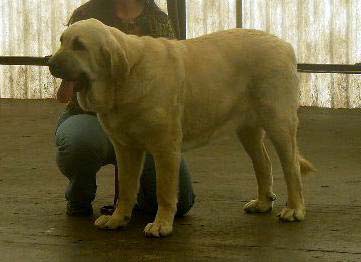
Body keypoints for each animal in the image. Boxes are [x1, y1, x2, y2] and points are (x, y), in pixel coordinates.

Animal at [49, 18, 314, 237]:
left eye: (79, 45)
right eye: (62, 41)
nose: (50, 63)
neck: (126, 77)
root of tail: (285, 45)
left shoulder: (166, 148)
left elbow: (165, 191)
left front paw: (161, 225)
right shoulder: (125, 148)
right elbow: (125, 187)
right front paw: (117, 219)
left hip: (280, 124)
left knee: (290, 167)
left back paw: (294, 209)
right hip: (248, 130)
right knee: (263, 164)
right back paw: (262, 203)